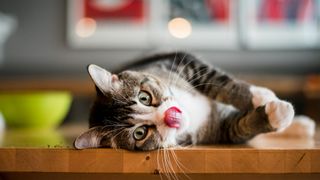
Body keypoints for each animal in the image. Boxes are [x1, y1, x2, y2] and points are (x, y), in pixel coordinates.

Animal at [74, 51, 316, 150]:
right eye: (140, 133)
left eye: (144, 97)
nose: (170, 116)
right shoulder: (220, 129)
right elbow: (241, 126)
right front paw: (275, 114)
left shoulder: (182, 61)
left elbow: (221, 82)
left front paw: (260, 96)